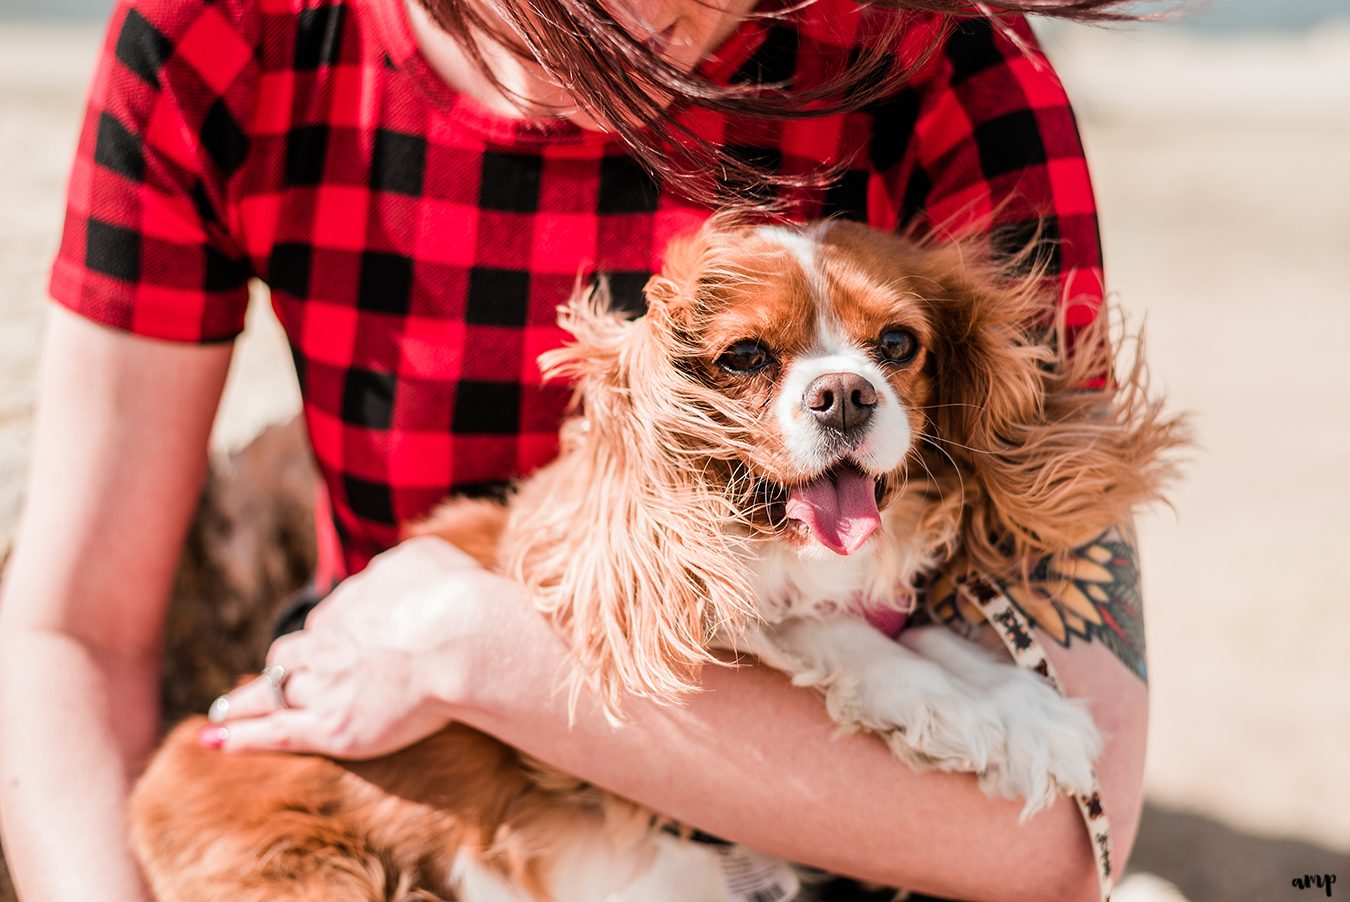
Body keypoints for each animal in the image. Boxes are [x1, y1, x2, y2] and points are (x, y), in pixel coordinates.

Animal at [128, 218, 1182, 902]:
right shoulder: (596, 621)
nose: (845, 393)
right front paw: (978, 713)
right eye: (746, 355)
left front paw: (1007, 698)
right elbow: (810, 630)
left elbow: (917, 636)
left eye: (897, 343)